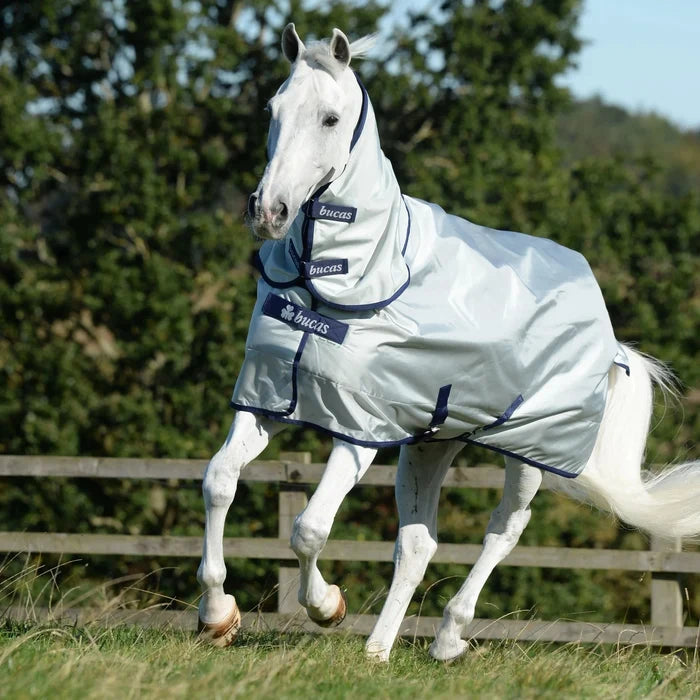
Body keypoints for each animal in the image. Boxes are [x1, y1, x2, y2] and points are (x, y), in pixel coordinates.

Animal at [196, 24, 700, 662]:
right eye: (272, 110)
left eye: (331, 118)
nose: (268, 211)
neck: (343, 273)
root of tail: (607, 332)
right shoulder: (268, 400)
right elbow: (219, 481)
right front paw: (217, 615)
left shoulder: (358, 430)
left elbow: (309, 528)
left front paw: (326, 606)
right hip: (432, 444)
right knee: (418, 545)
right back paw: (379, 651)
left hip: (527, 451)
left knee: (503, 531)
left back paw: (448, 636)